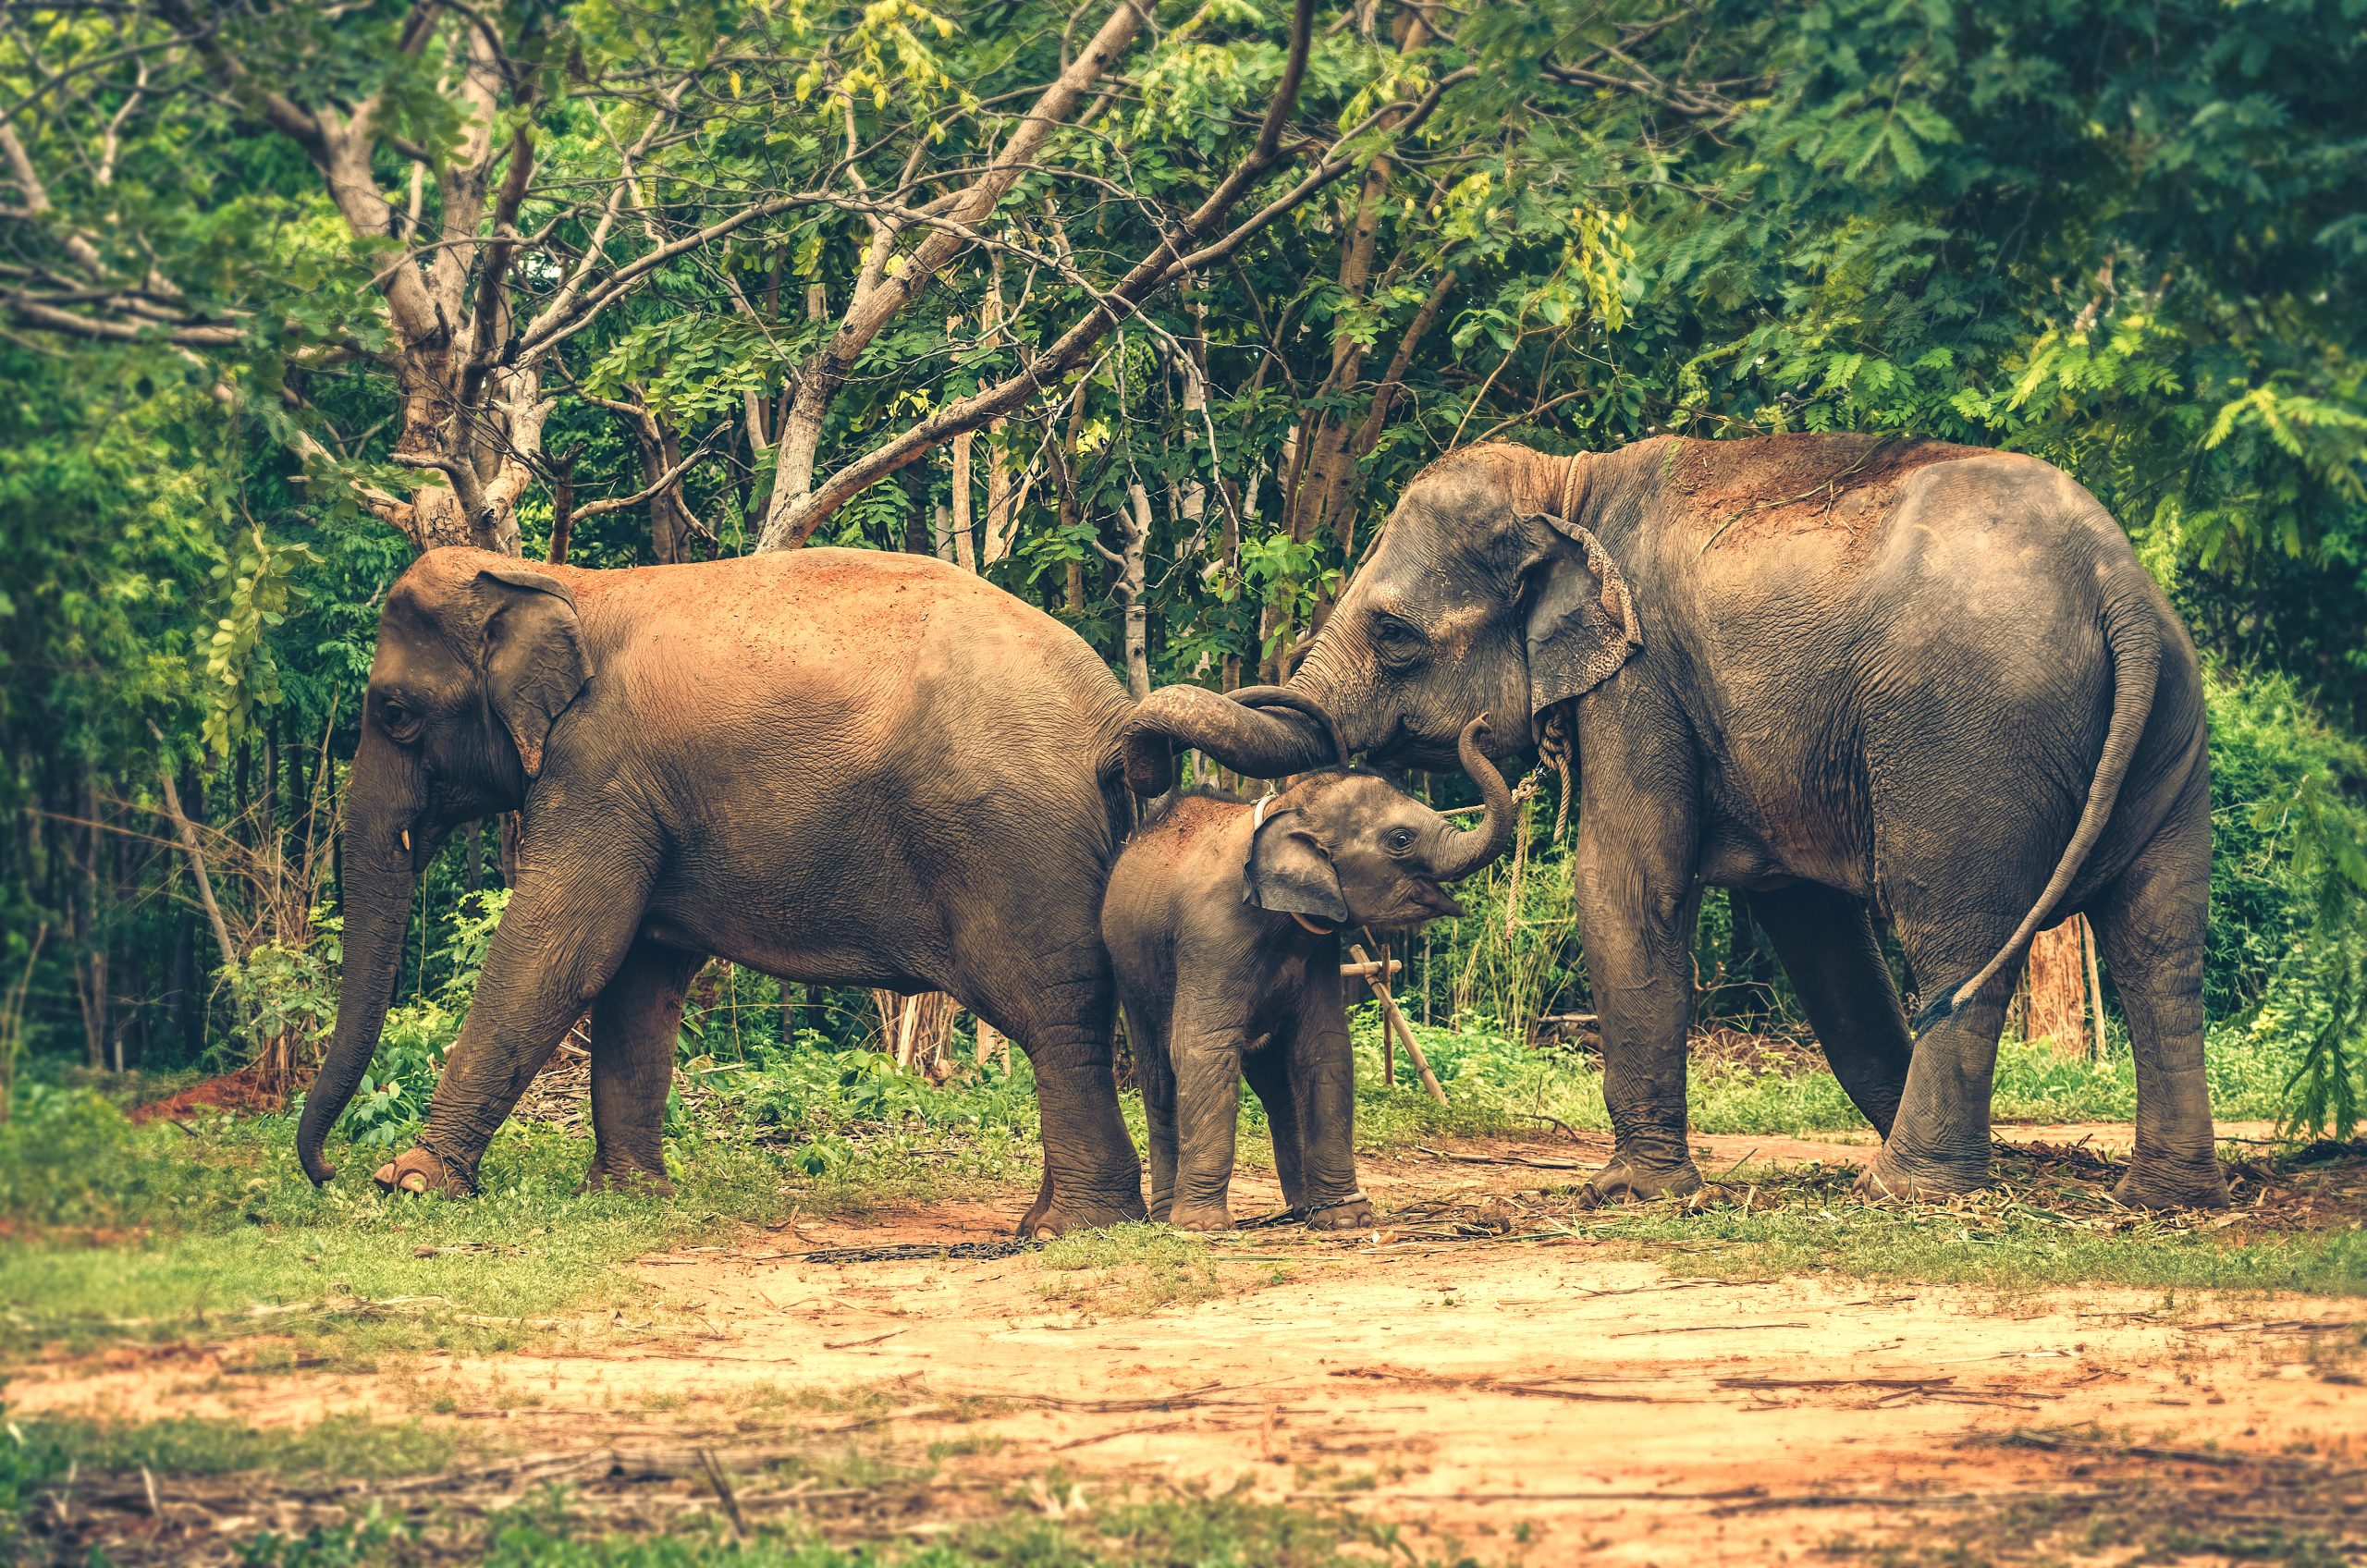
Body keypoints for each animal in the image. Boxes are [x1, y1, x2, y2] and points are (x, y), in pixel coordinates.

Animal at [298, 544, 1152, 1235]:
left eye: (395, 712)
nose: (328, 1171)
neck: (563, 581)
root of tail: (1110, 713)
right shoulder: (636, 797)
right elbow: (639, 978)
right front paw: (626, 1198)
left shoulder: (599, 775)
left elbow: (562, 950)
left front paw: (410, 1184)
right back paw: (1047, 1222)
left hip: (1016, 845)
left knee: (1057, 1015)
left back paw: (1071, 1229)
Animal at [1103, 701, 1516, 1232]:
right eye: (1401, 839)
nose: (1481, 724)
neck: (1287, 808)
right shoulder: (1210, 935)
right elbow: (1202, 1048)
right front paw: (1203, 1228)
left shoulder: (1320, 946)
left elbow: (1324, 1047)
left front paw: (1348, 1217)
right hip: (1130, 967)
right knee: (1159, 1074)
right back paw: (1165, 1217)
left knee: (1275, 1084)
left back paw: (1302, 1210)